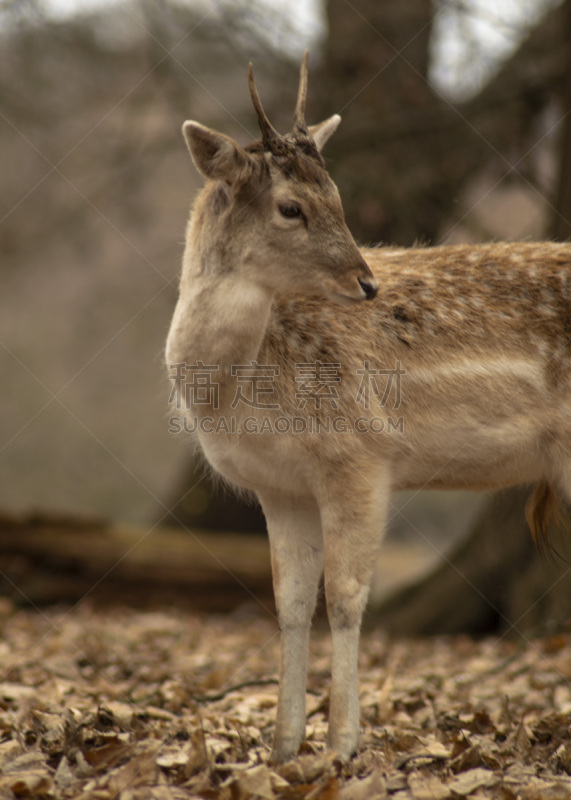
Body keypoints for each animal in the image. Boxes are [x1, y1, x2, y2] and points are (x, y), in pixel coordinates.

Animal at [165, 57, 571, 764]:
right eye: (292, 207)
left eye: (340, 199)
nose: (367, 283)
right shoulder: (279, 486)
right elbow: (290, 602)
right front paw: (283, 746)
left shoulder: (358, 456)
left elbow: (347, 599)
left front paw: (343, 744)